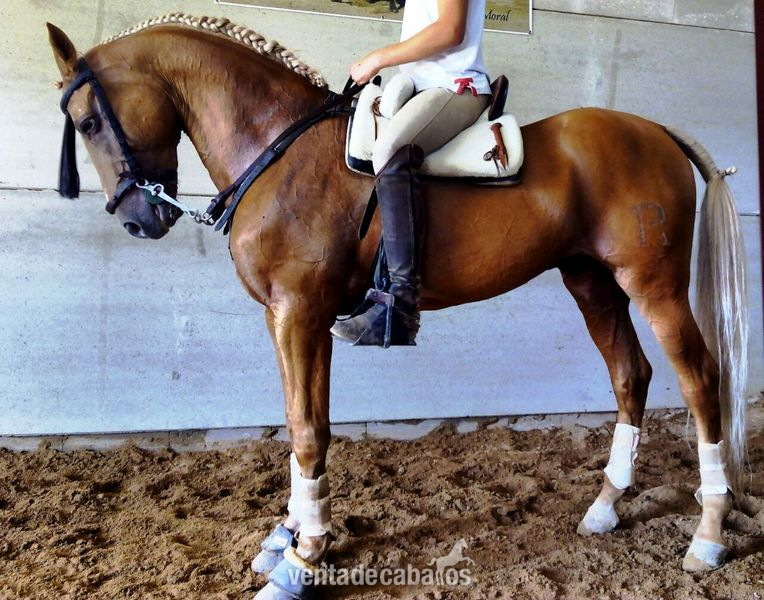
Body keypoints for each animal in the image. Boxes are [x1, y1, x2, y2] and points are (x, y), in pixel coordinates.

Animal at [47, 13, 748, 598]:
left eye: (87, 123)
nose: (137, 220)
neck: (276, 149)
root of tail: (655, 131)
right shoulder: (288, 316)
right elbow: (302, 420)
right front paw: (293, 536)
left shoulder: (299, 311)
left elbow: (308, 429)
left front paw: (303, 558)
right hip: (593, 284)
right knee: (631, 374)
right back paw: (604, 508)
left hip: (653, 286)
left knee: (700, 380)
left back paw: (708, 536)